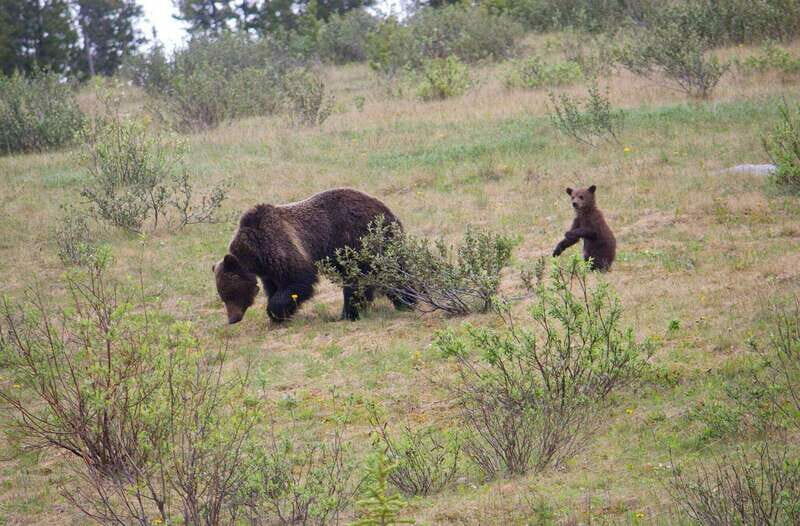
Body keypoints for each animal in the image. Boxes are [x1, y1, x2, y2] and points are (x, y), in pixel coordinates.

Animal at [213, 187, 409, 324]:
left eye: (230, 294)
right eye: (223, 296)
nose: (232, 319)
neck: (256, 255)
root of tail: (388, 211)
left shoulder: (282, 247)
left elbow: (299, 280)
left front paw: (276, 312)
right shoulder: (269, 269)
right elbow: (273, 288)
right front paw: (282, 315)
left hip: (360, 240)